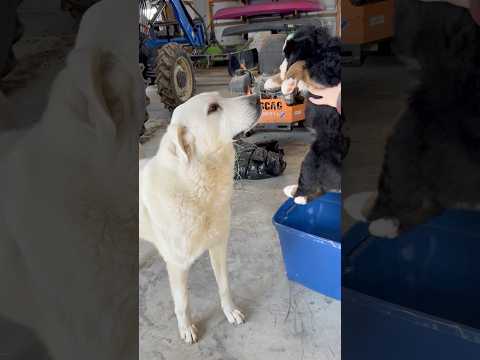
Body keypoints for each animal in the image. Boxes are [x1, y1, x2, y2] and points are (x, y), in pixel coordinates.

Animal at [140, 91, 258, 344]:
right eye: (213, 108)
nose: (258, 99)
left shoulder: (219, 246)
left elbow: (224, 286)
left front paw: (230, 312)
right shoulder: (177, 265)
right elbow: (182, 303)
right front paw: (186, 329)